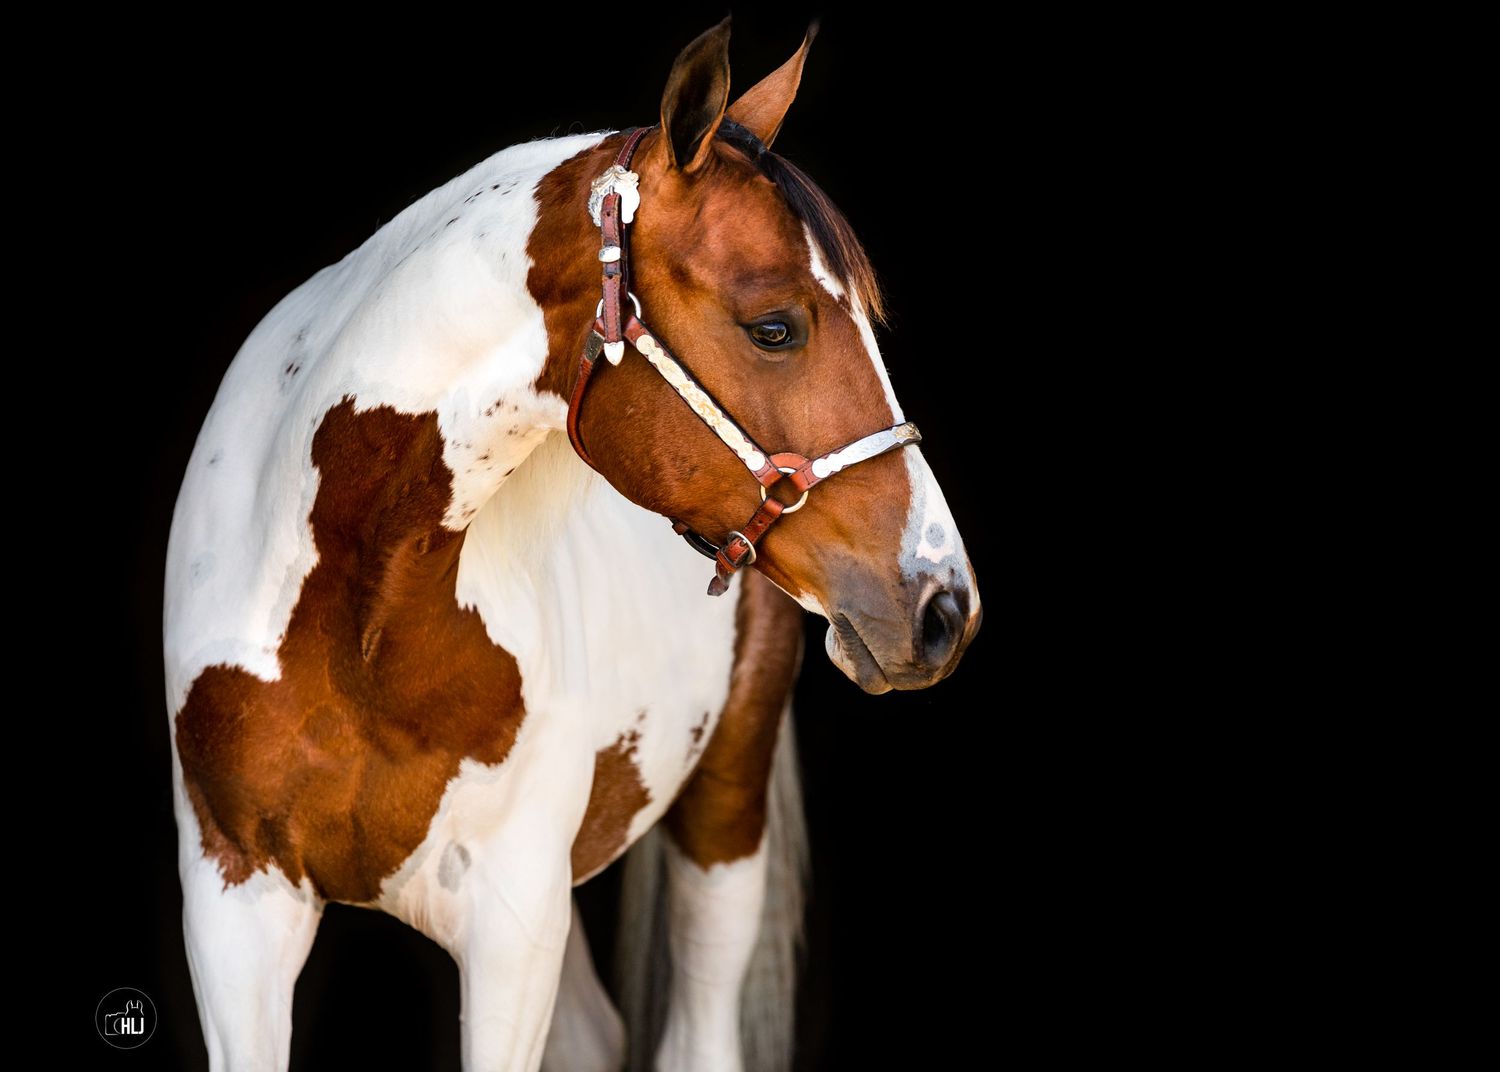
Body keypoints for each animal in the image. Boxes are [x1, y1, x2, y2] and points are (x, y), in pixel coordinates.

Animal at [163, 19, 980, 1072]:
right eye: (774, 326)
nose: (944, 602)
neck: (354, 622)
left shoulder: (515, 926)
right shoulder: (235, 915)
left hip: (724, 813)